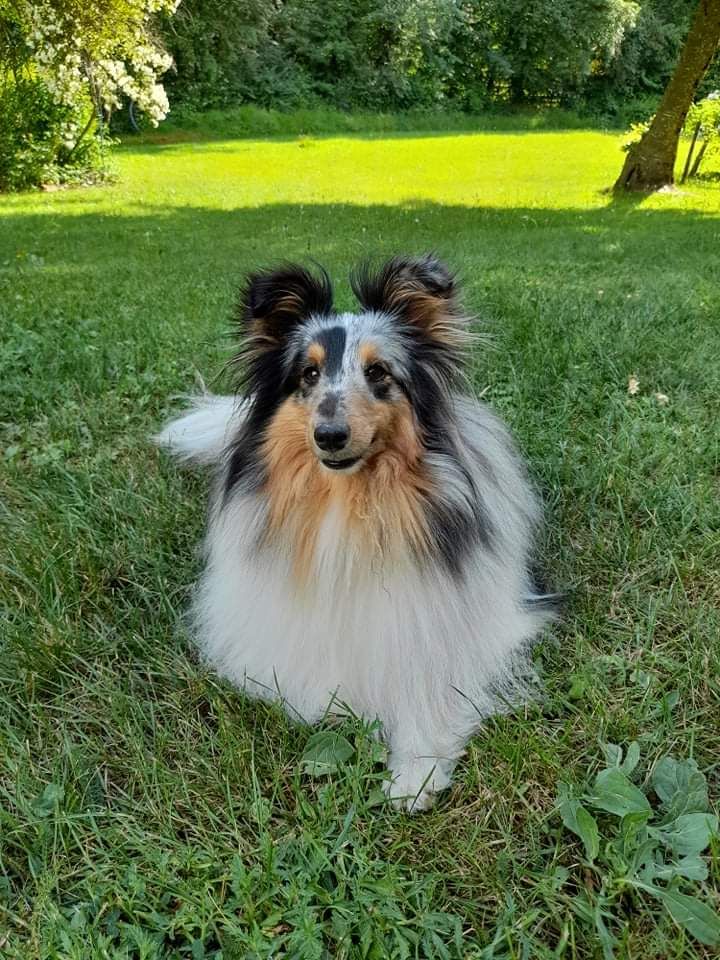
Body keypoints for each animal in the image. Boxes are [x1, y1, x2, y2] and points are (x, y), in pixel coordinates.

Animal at [155, 255, 556, 808]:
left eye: (378, 372)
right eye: (308, 373)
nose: (329, 436)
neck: (349, 502)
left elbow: (428, 675)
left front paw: (414, 774)